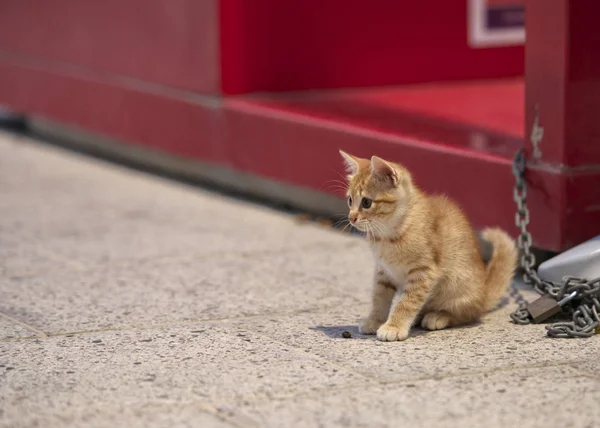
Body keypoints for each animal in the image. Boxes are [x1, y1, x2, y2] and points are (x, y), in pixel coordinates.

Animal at [340, 150, 516, 342]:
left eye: (366, 202)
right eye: (350, 200)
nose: (351, 218)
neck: (388, 235)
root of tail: (484, 293)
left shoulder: (424, 272)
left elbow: (407, 302)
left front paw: (394, 326)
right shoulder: (383, 272)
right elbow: (379, 298)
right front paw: (376, 320)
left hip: (457, 284)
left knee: (468, 314)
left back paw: (439, 316)